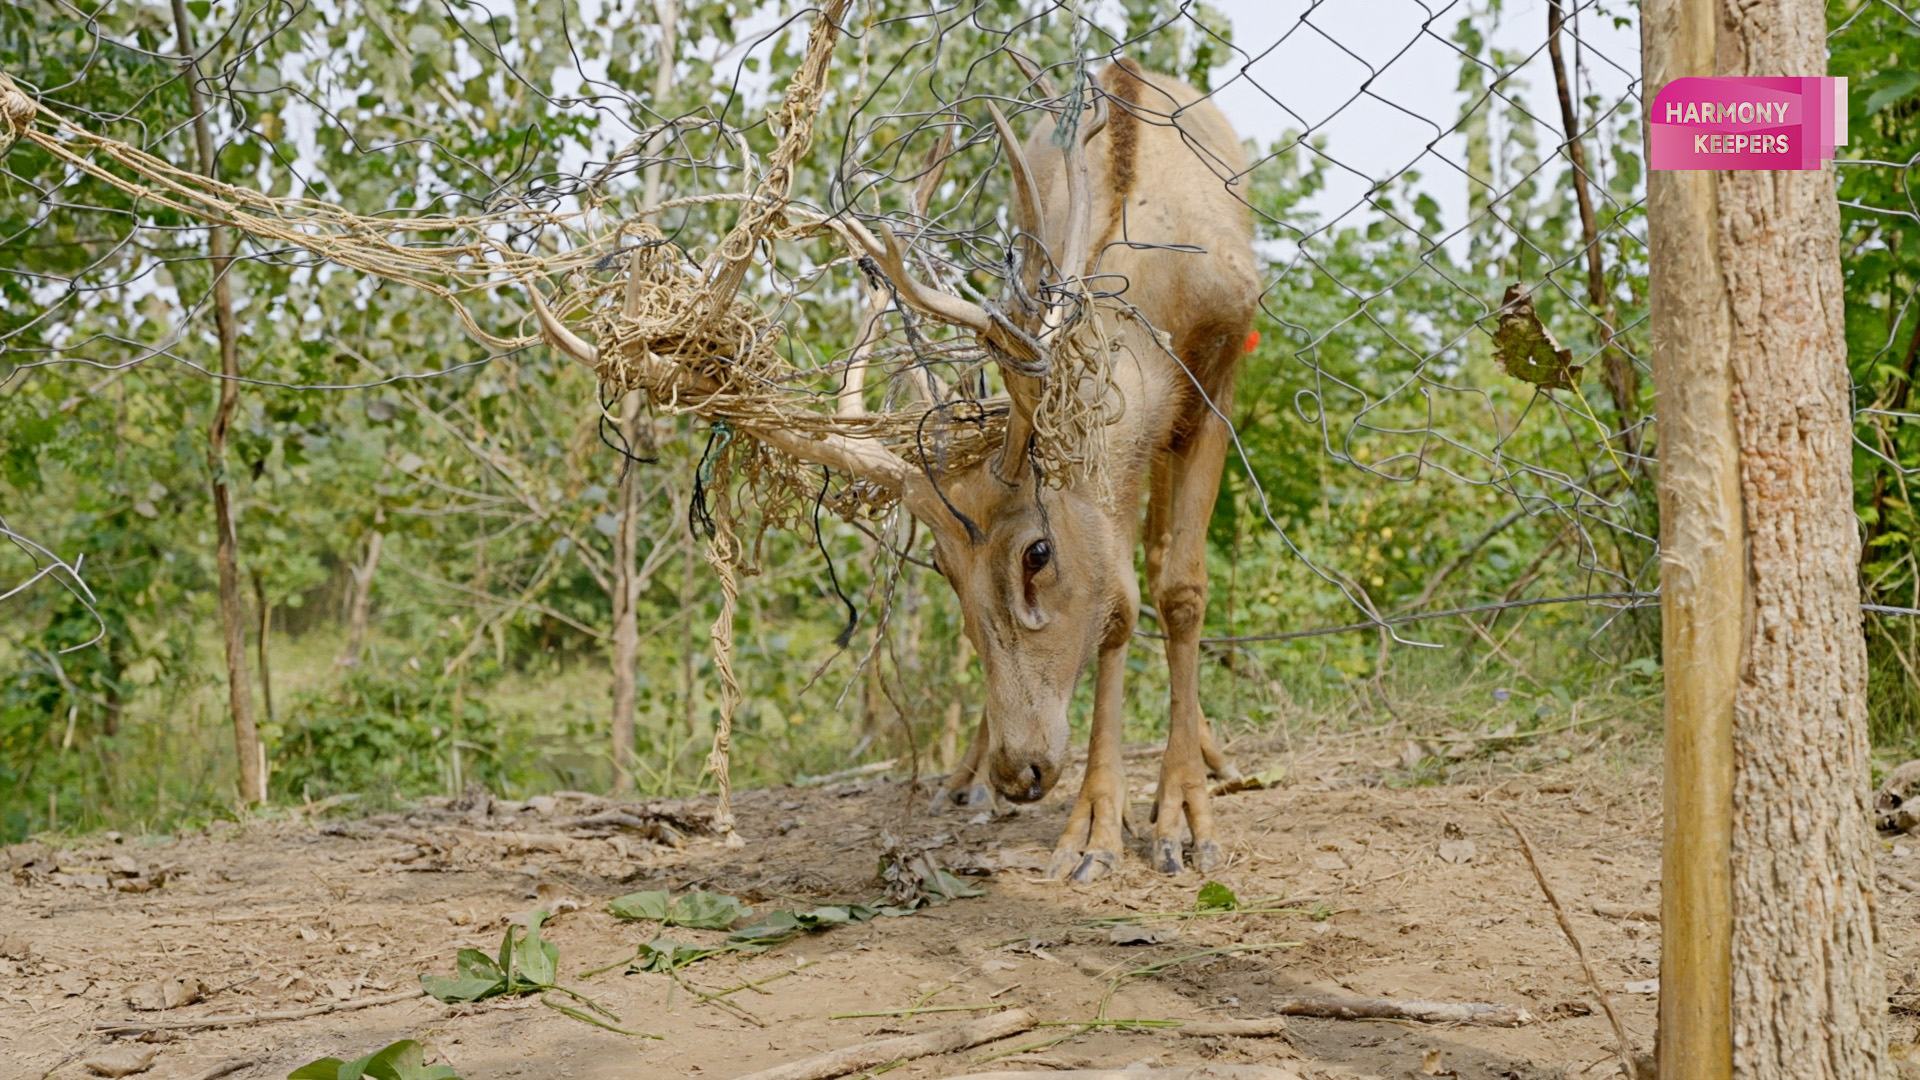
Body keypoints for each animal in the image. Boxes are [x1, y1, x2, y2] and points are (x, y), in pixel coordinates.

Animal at [537, 58, 1259, 876]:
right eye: (942, 566)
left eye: (1036, 554)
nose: (1021, 771)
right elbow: (1120, 609)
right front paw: (1095, 829)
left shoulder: (1225, 356)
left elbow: (1179, 591)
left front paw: (1182, 819)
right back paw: (967, 776)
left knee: (1166, 556)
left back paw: (1209, 757)